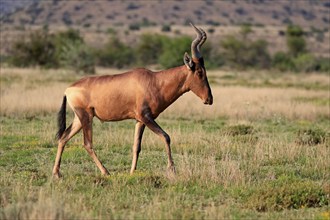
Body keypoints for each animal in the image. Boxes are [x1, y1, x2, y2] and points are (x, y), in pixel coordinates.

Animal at [52, 23, 213, 178]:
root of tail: (68, 89)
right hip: (85, 117)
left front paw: (132, 172)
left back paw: (57, 173)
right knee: (87, 144)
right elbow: (166, 137)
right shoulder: (146, 117)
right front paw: (172, 170)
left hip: (80, 119)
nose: (209, 99)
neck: (154, 81)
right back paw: (105, 172)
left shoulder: (139, 120)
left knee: (63, 138)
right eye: (199, 72)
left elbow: (136, 147)